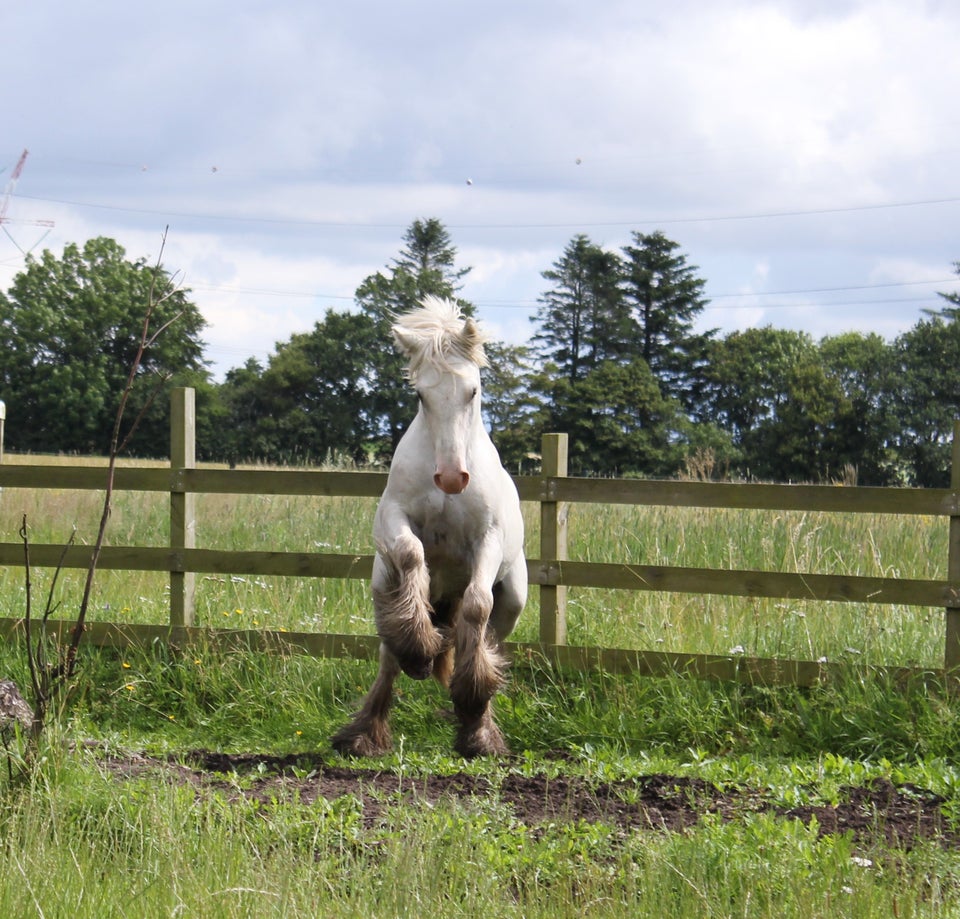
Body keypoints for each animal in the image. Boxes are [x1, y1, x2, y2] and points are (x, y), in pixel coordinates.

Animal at [328, 298, 524, 760]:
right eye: (421, 394)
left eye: (473, 390)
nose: (452, 478)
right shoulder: (394, 518)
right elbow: (412, 553)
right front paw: (419, 650)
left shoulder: (488, 540)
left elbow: (477, 606)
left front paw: (472, 705)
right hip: (383, 586)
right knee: (389, 653)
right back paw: (365, 733)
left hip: (514, 602)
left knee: (485, 639)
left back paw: (478, 730)